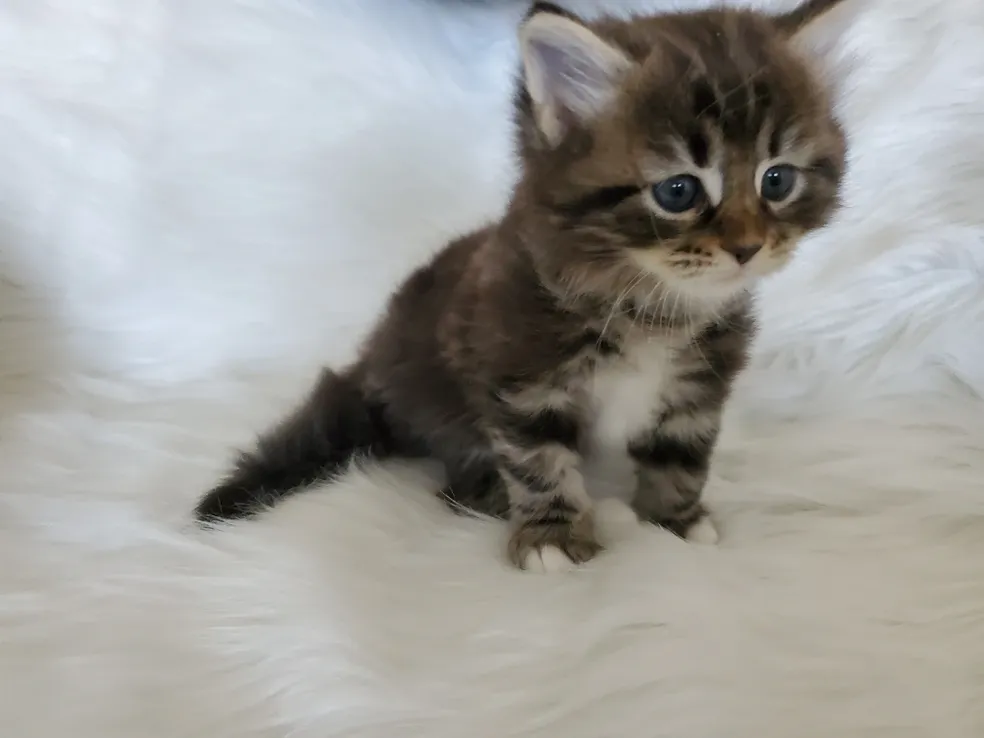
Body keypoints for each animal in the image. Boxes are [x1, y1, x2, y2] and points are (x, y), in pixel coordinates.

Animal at [195, 0, 848, 572]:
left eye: (777, 180)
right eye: (678, 191)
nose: (747, 248)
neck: (648, 304)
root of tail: (374, 359)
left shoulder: (696, 387)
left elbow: (681, 456)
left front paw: (675, 523)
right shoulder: (520, 379)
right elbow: (539, 463)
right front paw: (553, 537)